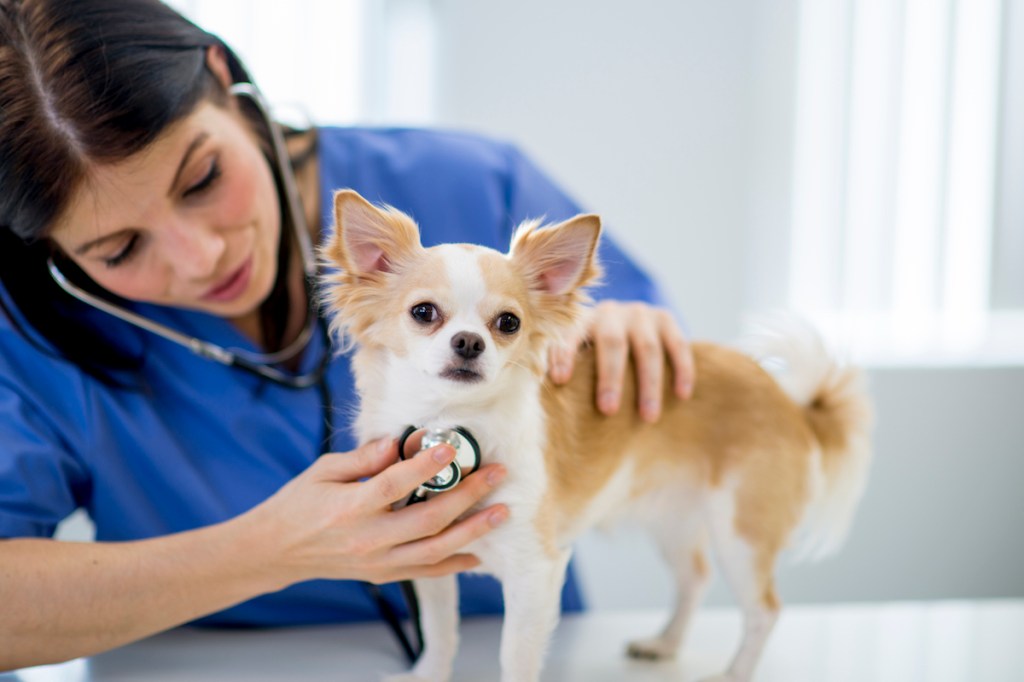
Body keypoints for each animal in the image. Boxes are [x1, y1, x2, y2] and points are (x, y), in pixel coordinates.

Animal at [317, 189, 872, 679]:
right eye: (423, 313)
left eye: (508, 322)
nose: (470, 342)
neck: (450, 421)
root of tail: (790, 401)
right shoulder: (431, 561)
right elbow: (439, 635)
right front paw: (427, 675)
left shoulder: (535, 570)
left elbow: (515, 656)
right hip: (675, 515)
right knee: (695, 576)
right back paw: (664, 644)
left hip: (742, 531)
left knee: (763, 611)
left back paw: (732, 674)